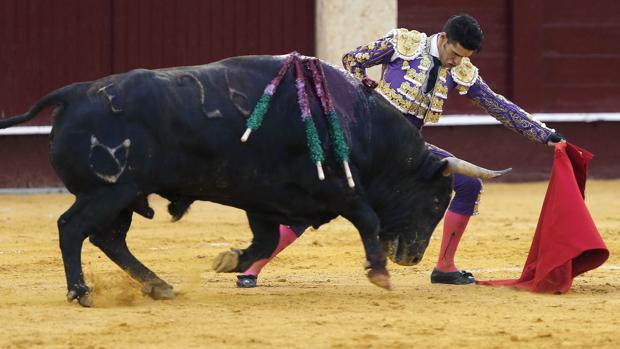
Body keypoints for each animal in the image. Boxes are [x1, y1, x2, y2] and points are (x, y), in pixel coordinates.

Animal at [0, 53, 508, 306]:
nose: (412, 257)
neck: (360, 126)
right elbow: (365, 217)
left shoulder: (263, 199)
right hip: (109, 191)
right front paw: (379, 272)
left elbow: (264, 240)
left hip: (123, 196)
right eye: (436, 199)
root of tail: (72, 93)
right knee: (73, 229)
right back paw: (81, 291)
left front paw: (230, 261)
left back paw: (158, 285)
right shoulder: (338, 189)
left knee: (108, 238)